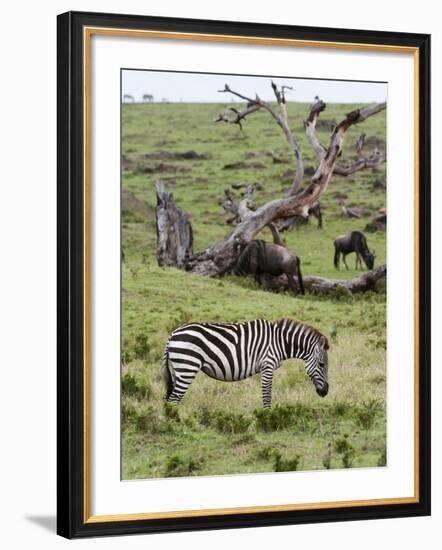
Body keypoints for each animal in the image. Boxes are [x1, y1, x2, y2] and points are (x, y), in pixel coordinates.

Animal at [162, 320, 328, 410]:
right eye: (321, 364)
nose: (325, 392)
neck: (280, 342)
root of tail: (172, 335)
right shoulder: (268, 365)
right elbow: (267, 395)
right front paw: (267, 417)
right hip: (187, 367)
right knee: (174, 399)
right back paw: (175, 425)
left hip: (178, 370)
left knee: (169, 399)